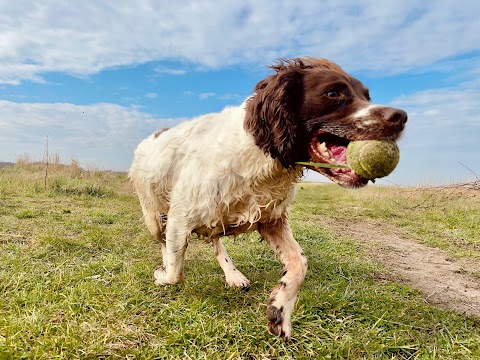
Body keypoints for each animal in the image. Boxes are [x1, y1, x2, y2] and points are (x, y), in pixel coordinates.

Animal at [129, 57, 406, 340]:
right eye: (332, 93)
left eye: (367, 95)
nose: (401, 117)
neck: (258, 155)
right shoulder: (180, 218)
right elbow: (175, 272)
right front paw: (162, 274)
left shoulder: (271, 220)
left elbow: (299, 262)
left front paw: (280, 311)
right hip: (152, 213)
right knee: (164, 242)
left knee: (216, 242)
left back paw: (233, 275)